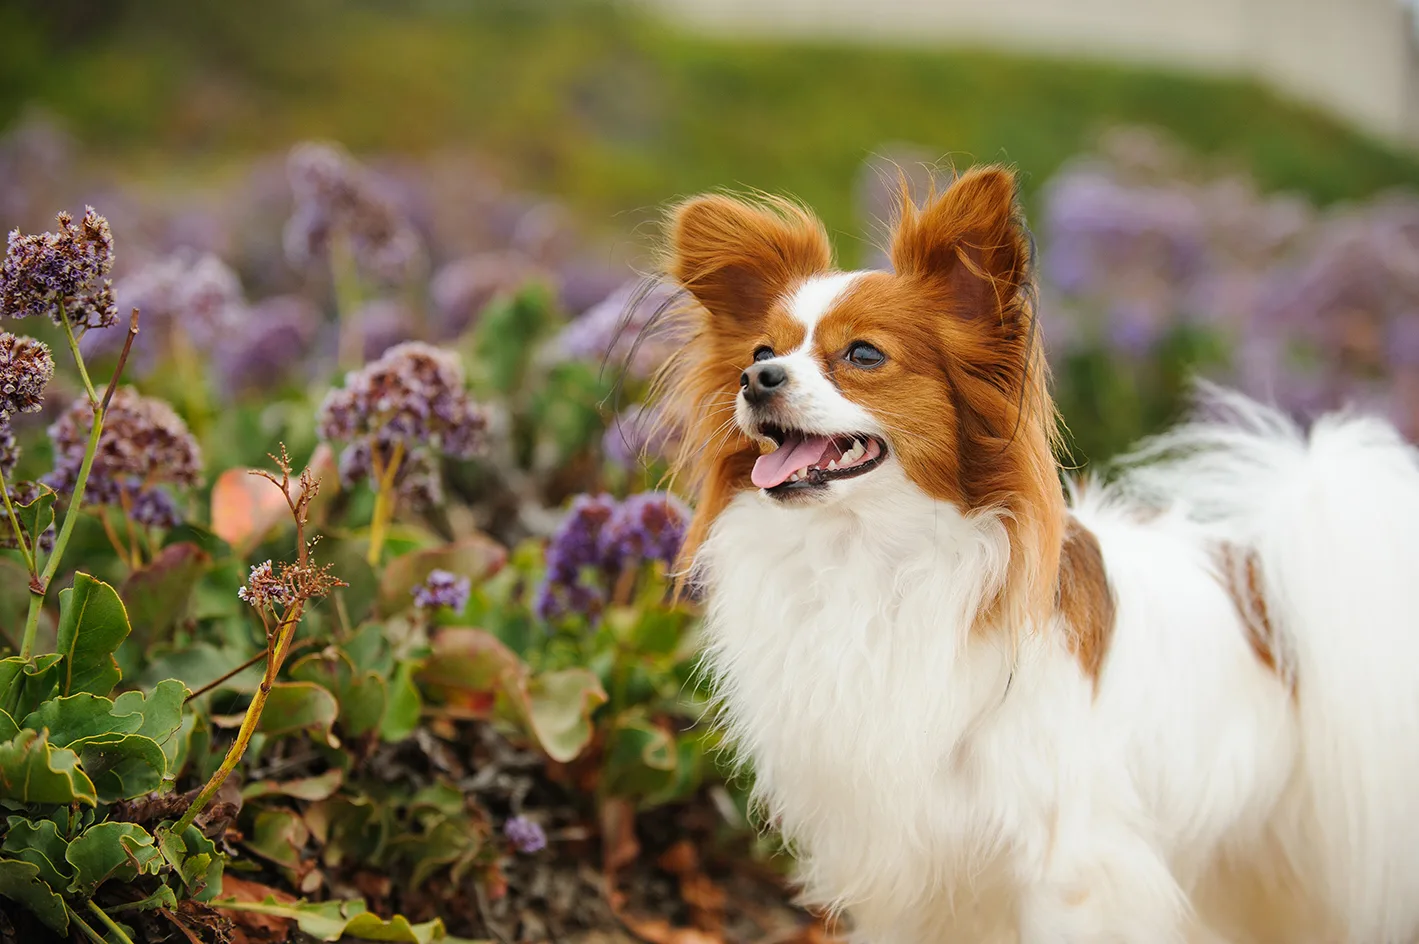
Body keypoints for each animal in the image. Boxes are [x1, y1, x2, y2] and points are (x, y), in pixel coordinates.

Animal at [652, 165, 1419, 936]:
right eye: (760, 353)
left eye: (863, 354)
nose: (757, 381)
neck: (868, 556)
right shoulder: (907, 867)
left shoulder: (1070, 867)